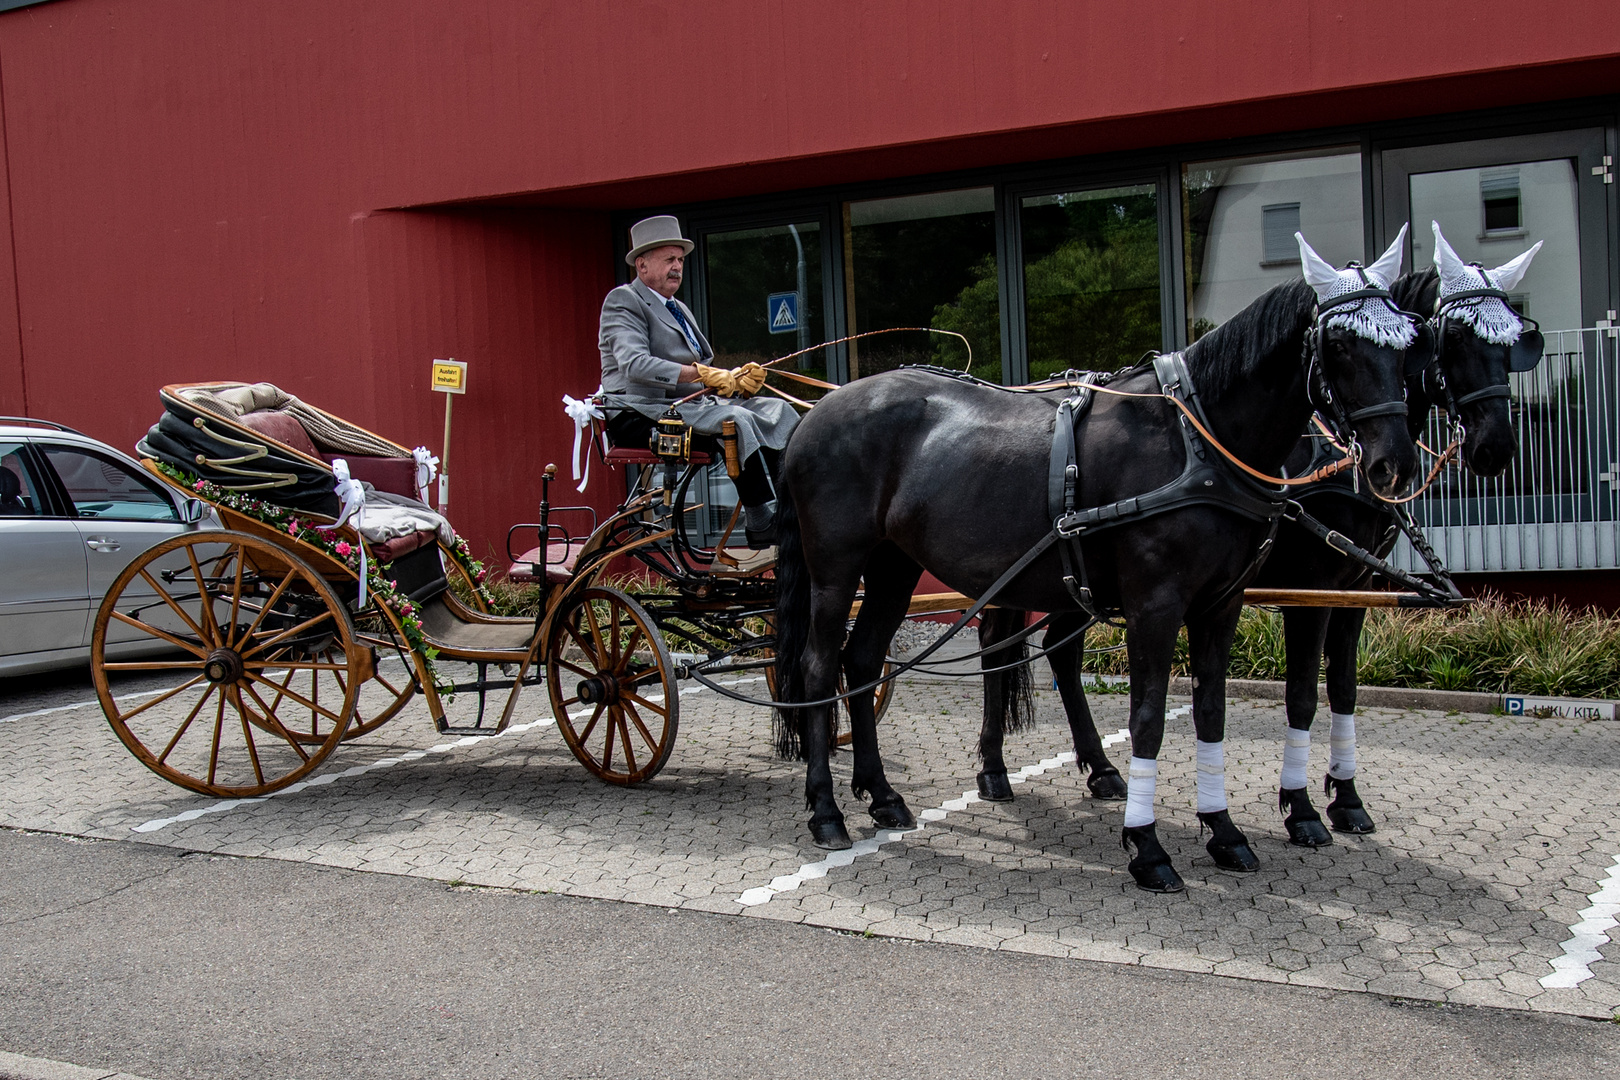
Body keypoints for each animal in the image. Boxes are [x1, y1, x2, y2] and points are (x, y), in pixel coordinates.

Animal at [771, 265, 1419, 893]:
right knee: (820, 667)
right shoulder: (1160, 605)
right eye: (1339, 343)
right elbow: (1150, 720)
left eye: (1412, 344)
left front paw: (1225, 832)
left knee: (863, 661)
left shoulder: (1225, 604)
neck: (1198, 441)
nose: (1394, 466)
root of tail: (813, 417)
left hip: (895, 567)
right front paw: (1149, 848)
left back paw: (883, 795)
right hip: (836, 568)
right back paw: (826, 810)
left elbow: (1212, 711)